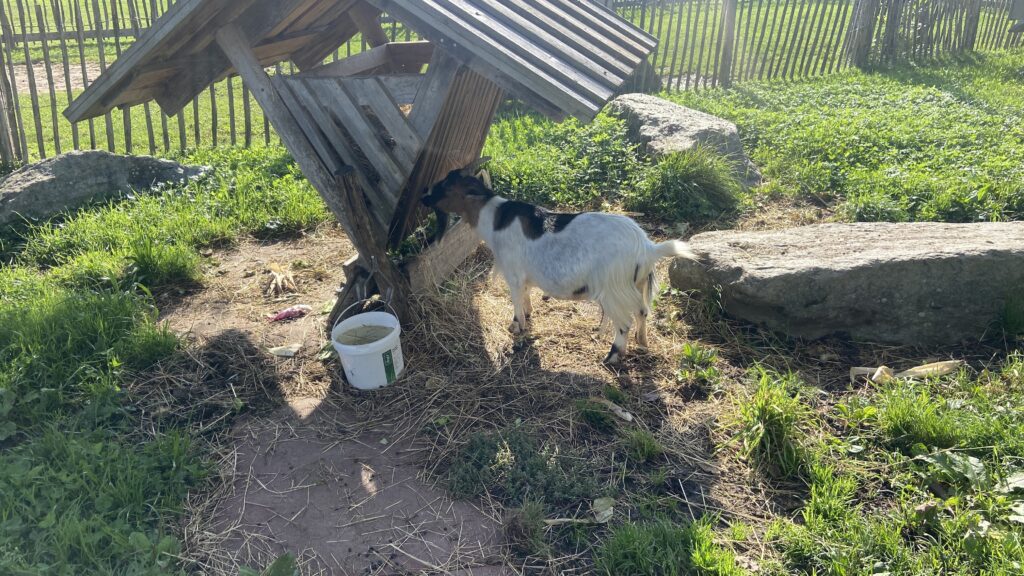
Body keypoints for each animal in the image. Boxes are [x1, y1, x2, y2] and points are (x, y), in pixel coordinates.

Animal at [422, 158, 697, 364]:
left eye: (445, 186)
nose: (424, 198)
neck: (495, 219)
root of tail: (647, 247)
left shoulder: (513, 274)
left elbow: (516, 301)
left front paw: (517, 327)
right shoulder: (525, 277)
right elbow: (526, 296)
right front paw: (527, 316)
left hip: (613, 289)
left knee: (624, 323)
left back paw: (612, 357)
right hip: (636, 285)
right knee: (642, 311)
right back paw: (642, 344)